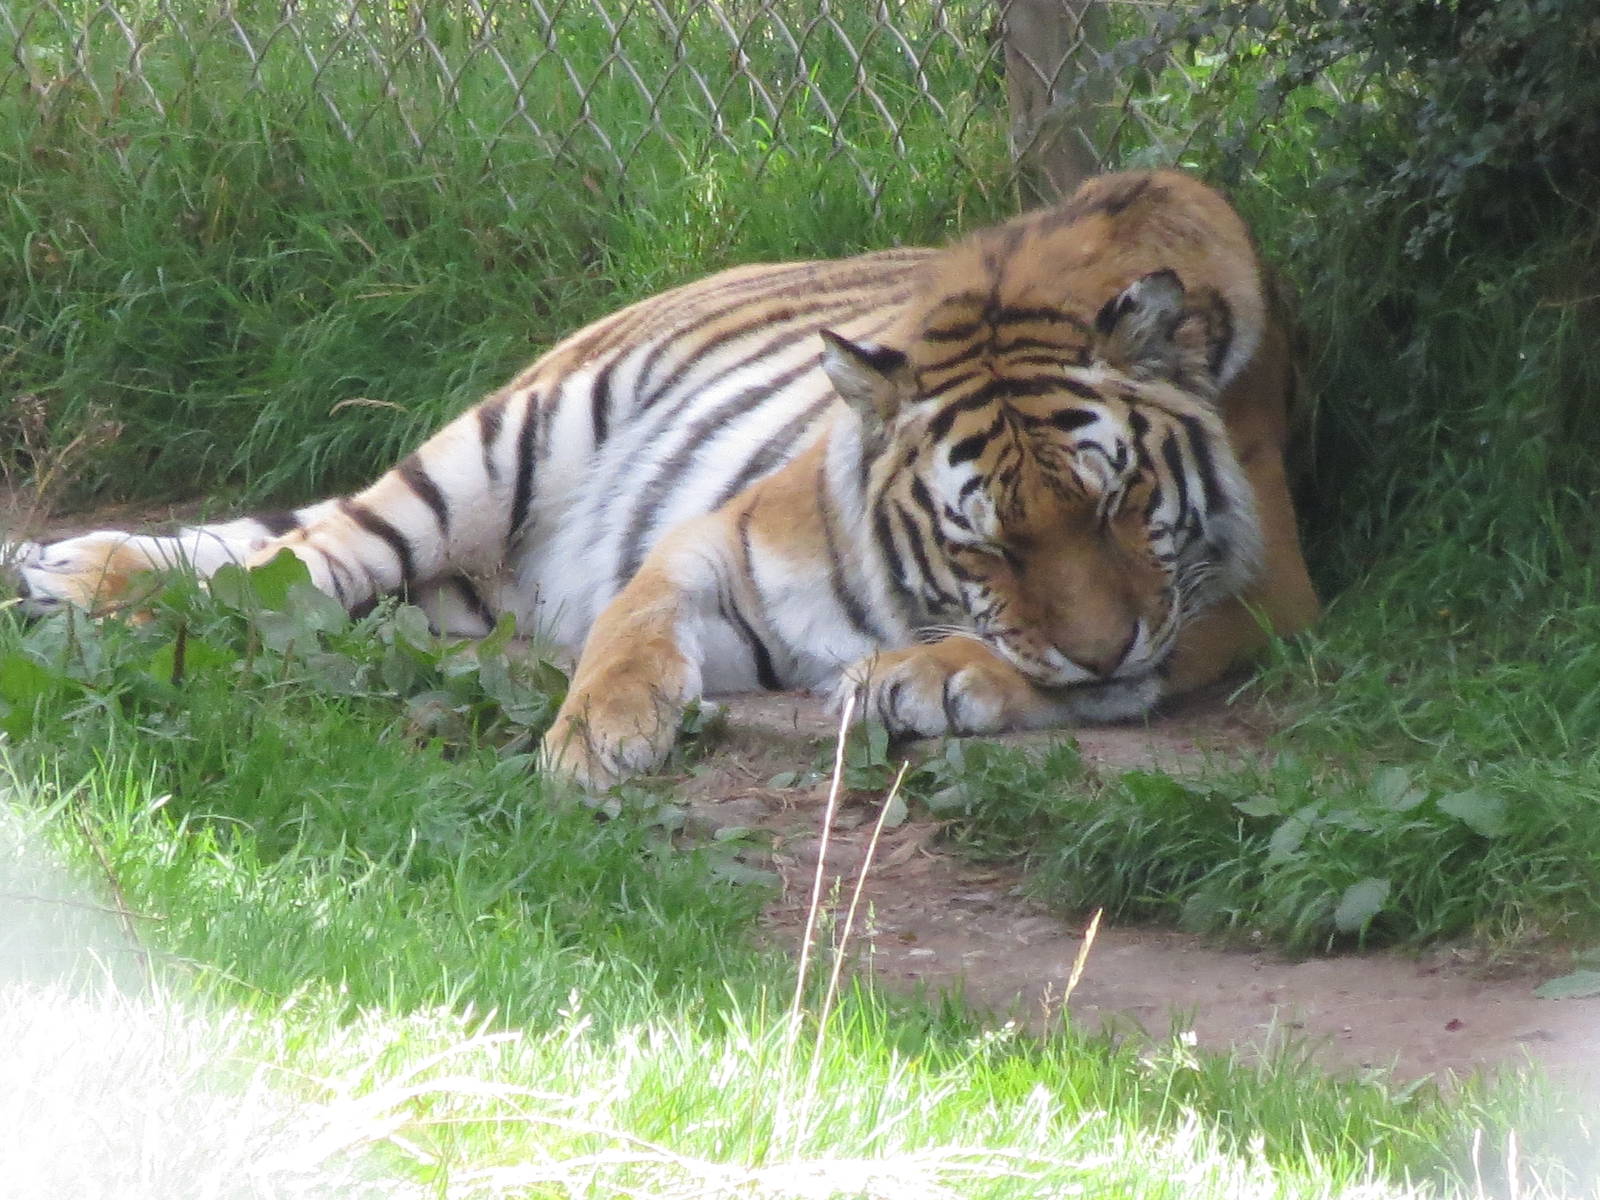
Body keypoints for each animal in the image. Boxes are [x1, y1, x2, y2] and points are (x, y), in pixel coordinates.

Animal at [3, 169, 1319, 789]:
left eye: (1117, 505)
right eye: (985, 542)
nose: (1099, 650)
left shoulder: (1266, 588)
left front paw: (937, 678)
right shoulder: (724, 539)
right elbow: (633, 630)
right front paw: (598, 742)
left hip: (445, 596)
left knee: (307, 595)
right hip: (489, 453)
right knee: (291, 565)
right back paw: (81, 596)